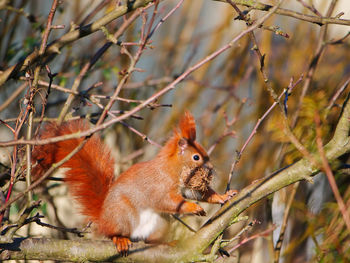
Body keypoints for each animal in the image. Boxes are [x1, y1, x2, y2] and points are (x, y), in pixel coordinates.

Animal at [31, 112, 237, 256]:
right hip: (123, 215)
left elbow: (198, 194)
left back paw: (166, 243)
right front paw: (193, 208)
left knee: (150, 241)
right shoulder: (159, 185)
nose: (211, 168)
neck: (173, 168)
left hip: (161, 223)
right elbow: (167, 201)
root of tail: (103, 218)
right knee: (113, 233)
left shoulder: (186, 187)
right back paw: (120, 239)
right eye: (196, 157)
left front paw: (223, 196)